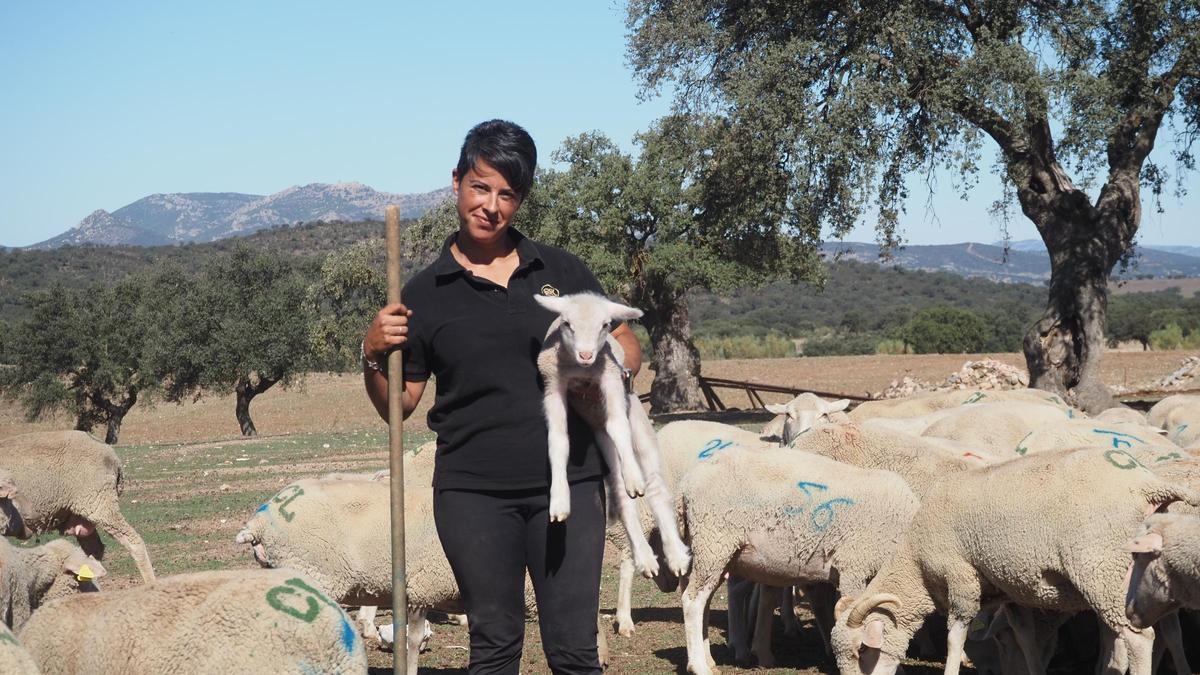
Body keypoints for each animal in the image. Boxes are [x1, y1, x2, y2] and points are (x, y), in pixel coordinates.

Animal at [676, 444, 916, 667]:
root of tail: (687, 483)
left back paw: (710, 660)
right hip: (713, 543)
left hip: (715, 554)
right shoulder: (855, 567)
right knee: (693, 601)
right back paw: (699, 666)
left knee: (705, 600)